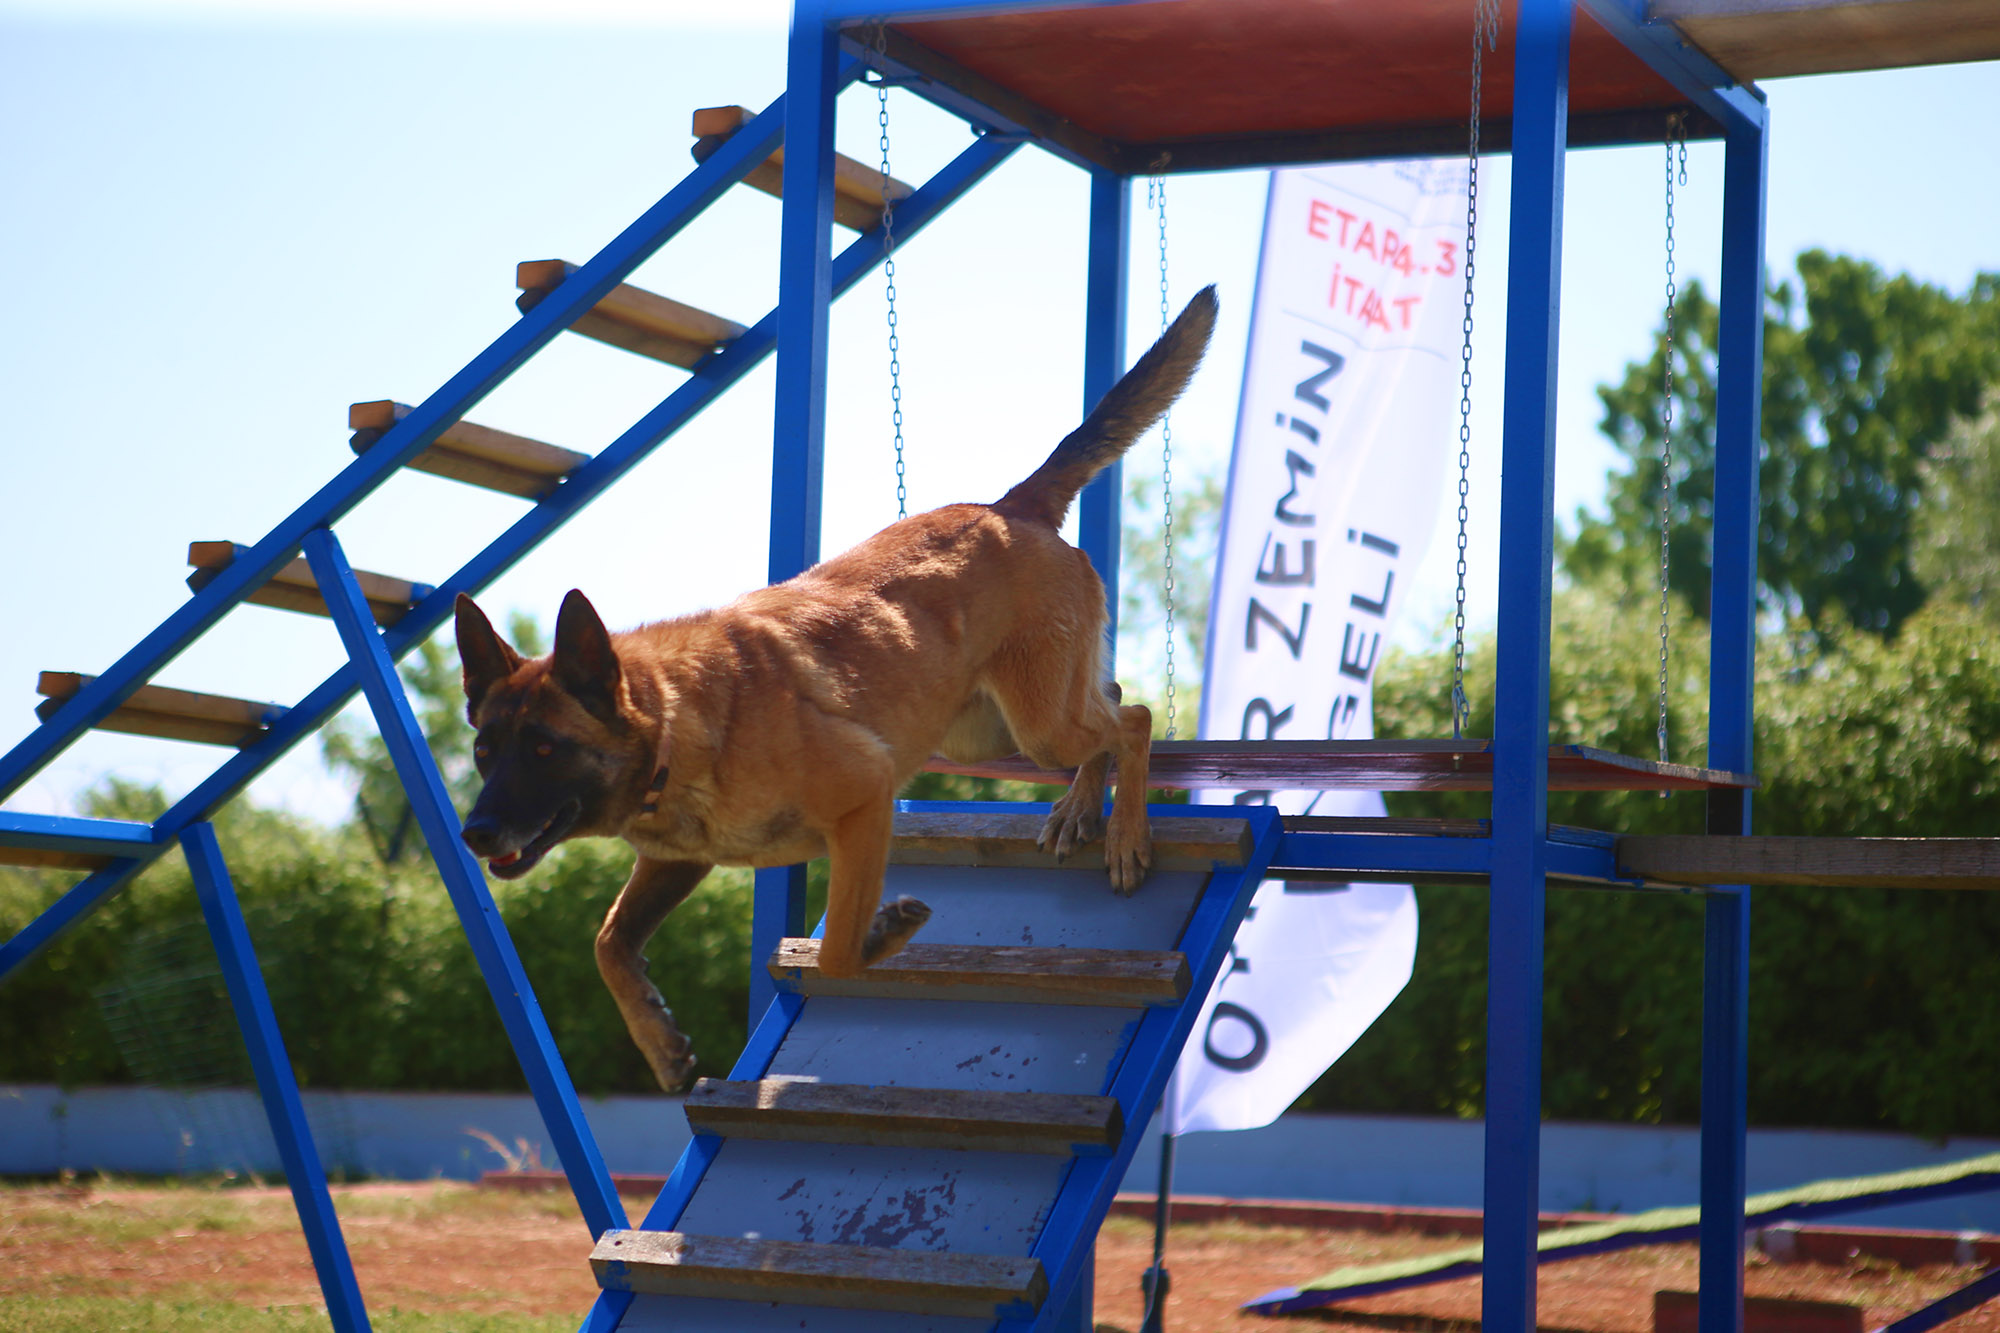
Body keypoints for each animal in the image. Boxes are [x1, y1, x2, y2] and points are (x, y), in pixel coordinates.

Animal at [454, 286, 1216, 1088]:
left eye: (543, 748)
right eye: (485, 753)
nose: (475, 834)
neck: (683, 723)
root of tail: (1008, 505)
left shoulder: (864, 796)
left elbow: (841, 951)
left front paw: (885, 930)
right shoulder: (678, 860)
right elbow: (608, 940)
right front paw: (661, 1044)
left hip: (1036, 726)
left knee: (1134, 719)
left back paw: (1125, 832)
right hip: (993, 733)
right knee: (1113, 699)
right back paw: (1080, 810)